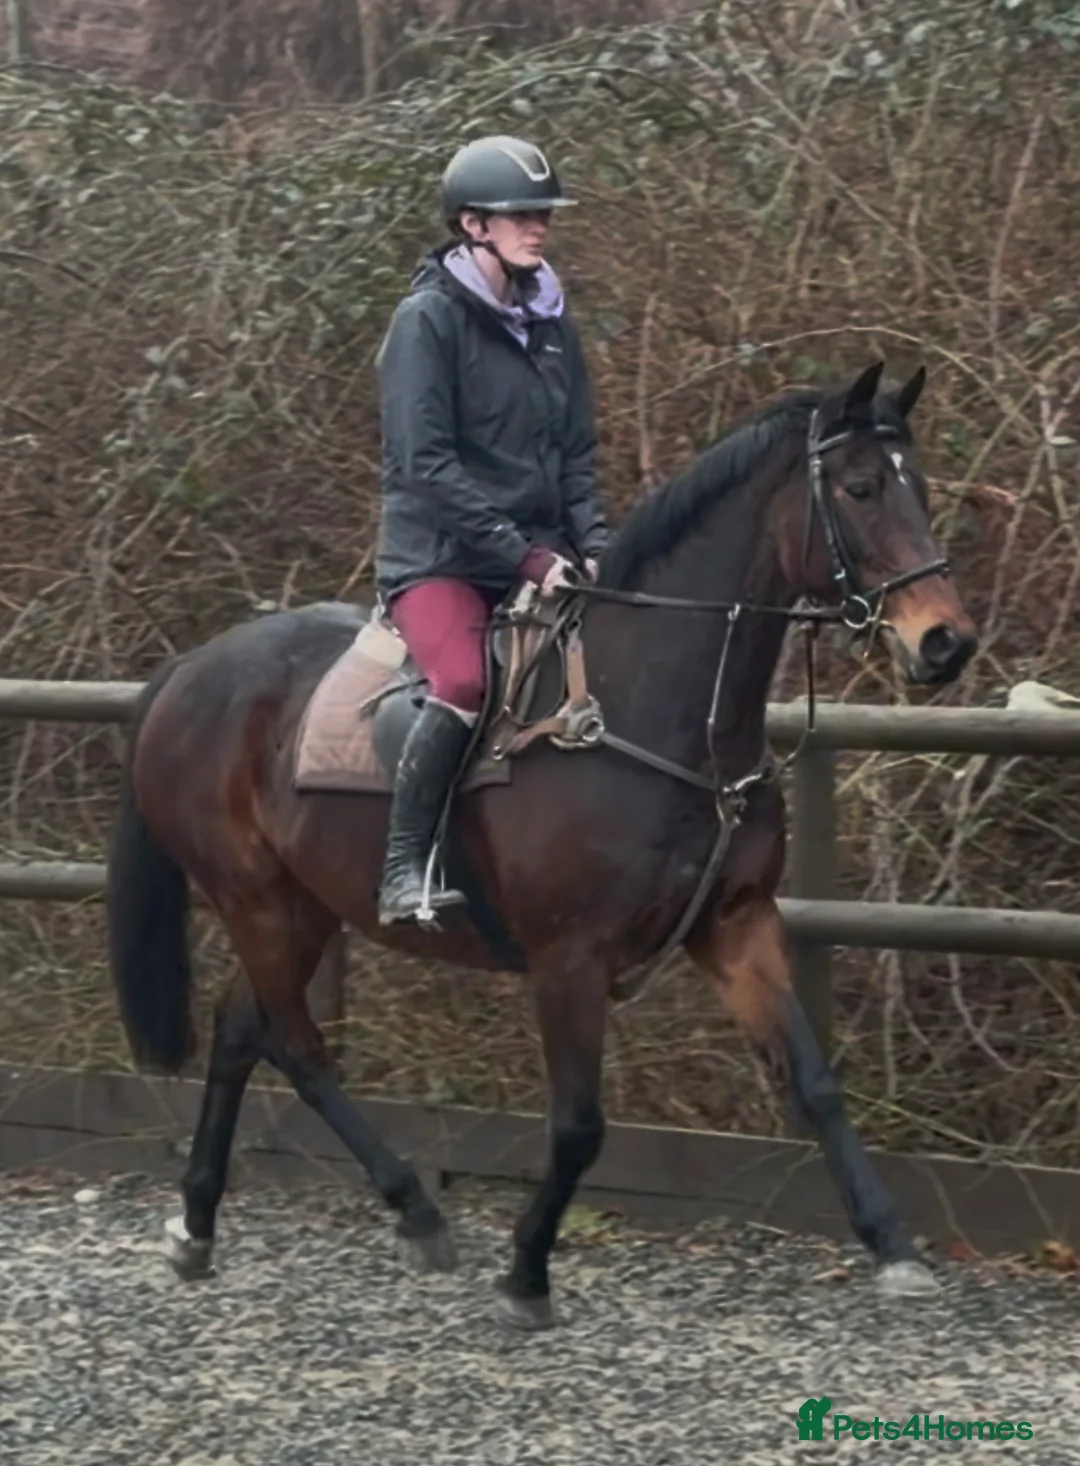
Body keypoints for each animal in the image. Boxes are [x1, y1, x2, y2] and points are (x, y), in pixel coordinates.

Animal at [105, 359, 977, 1329]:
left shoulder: (737, 926)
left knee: (240, 1029)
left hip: (302, 905)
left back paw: (200, 1223)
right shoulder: (570, 958)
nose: (946, 642)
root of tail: (192, 668)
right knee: (294, 1044)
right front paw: (526, 1271)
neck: (656, 714)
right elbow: (579, 1125)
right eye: (860, 488)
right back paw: (412, 1209)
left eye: (918, 486)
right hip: (255, 897)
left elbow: (815, 1081)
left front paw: (893, 1245)